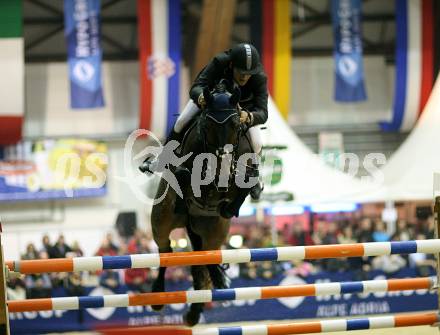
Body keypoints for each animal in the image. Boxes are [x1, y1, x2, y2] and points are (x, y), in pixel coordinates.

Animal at [150, 82, 256, 326]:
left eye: (236, 125)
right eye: (207, 125)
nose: (223, 162)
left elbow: (246, 183)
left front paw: (229, 206)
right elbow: (184, 173)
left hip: (214, 231)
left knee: (205, 258)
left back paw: (206, 296)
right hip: (161, 220)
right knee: (165, 250)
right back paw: (158, 296)